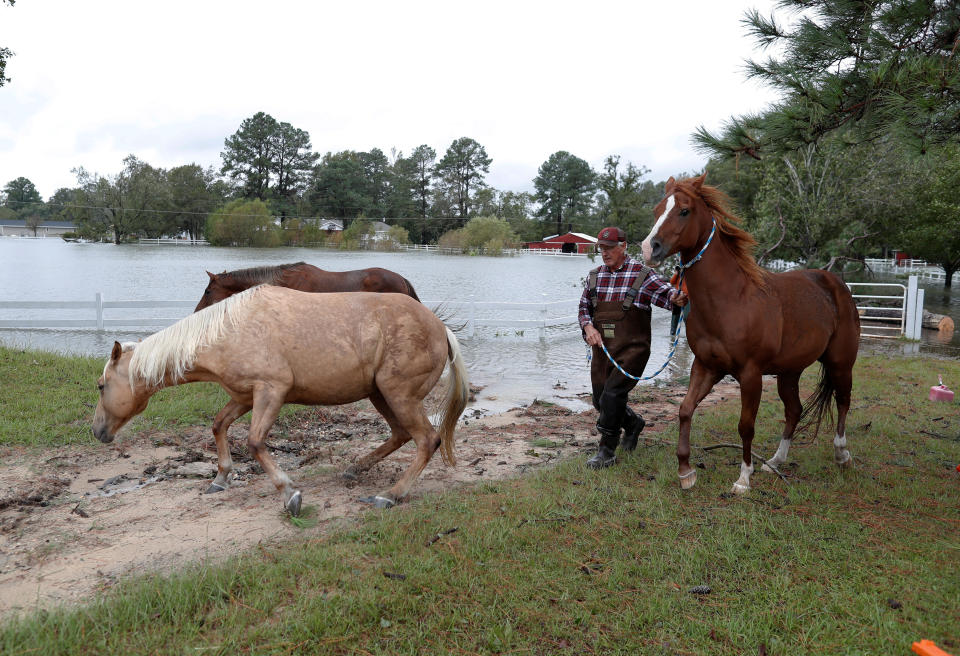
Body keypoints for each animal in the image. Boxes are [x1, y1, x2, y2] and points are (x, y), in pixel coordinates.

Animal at [92, 284, 466, 516]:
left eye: (100, 385)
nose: (97, 431)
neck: (230, 331)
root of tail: (441, 328)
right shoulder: (245, 396)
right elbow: (218, 426)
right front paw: (220, 478)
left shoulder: (271, 391)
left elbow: (256, 442)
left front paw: (290, 495)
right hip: (380, 394)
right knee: (401, 435)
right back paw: (355, 469)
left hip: (398, 395)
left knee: (427, 440)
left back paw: (389, 495)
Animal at [640, 173, 860, 492]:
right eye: (657, 210)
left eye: (684, 211)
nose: (650, 248)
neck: (732, 299)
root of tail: (836, 284)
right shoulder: (706, 367)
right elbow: (684, 409)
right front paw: (685, 471)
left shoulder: (750, 374)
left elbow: (746, 426)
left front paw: (744, 478)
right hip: (789, 372)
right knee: (795, 410)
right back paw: (775, 461)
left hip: (840, 363)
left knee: (843, 401)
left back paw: (842, 455)